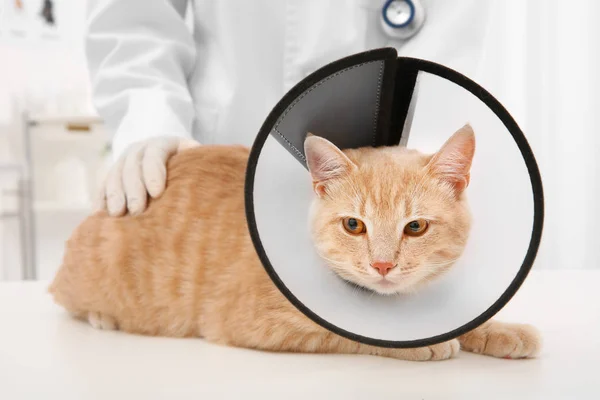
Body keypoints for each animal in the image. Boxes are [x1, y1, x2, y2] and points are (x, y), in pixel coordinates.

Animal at [49, 126, 540, 362]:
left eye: (415, 227)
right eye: (354, 225)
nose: (382, 266)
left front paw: (503, 330)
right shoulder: (250, 319)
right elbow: (344, 333)